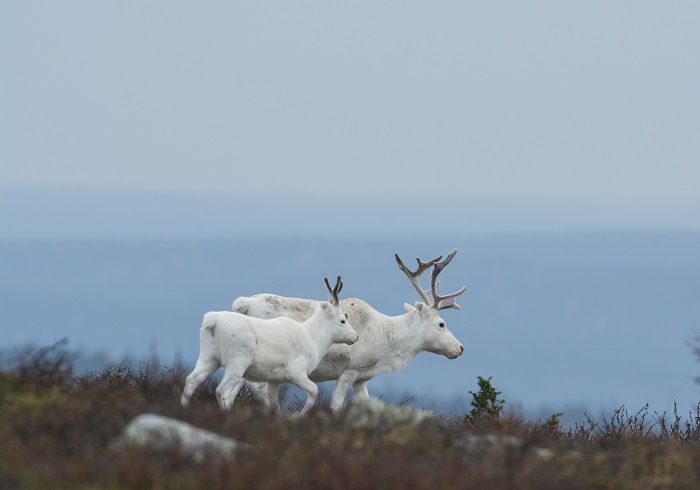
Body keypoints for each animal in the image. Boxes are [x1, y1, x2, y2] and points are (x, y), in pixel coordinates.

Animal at [182, 276, 356, 414]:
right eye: (342, 320)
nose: (356, 336)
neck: (313, 338)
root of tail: (212, 322)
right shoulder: (297, 374)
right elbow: (314, 391)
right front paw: (299, 416)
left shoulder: (274, 381)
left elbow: (274, 404)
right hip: (236, 363)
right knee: (221, 390)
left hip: (209, 357)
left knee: (191, 380)